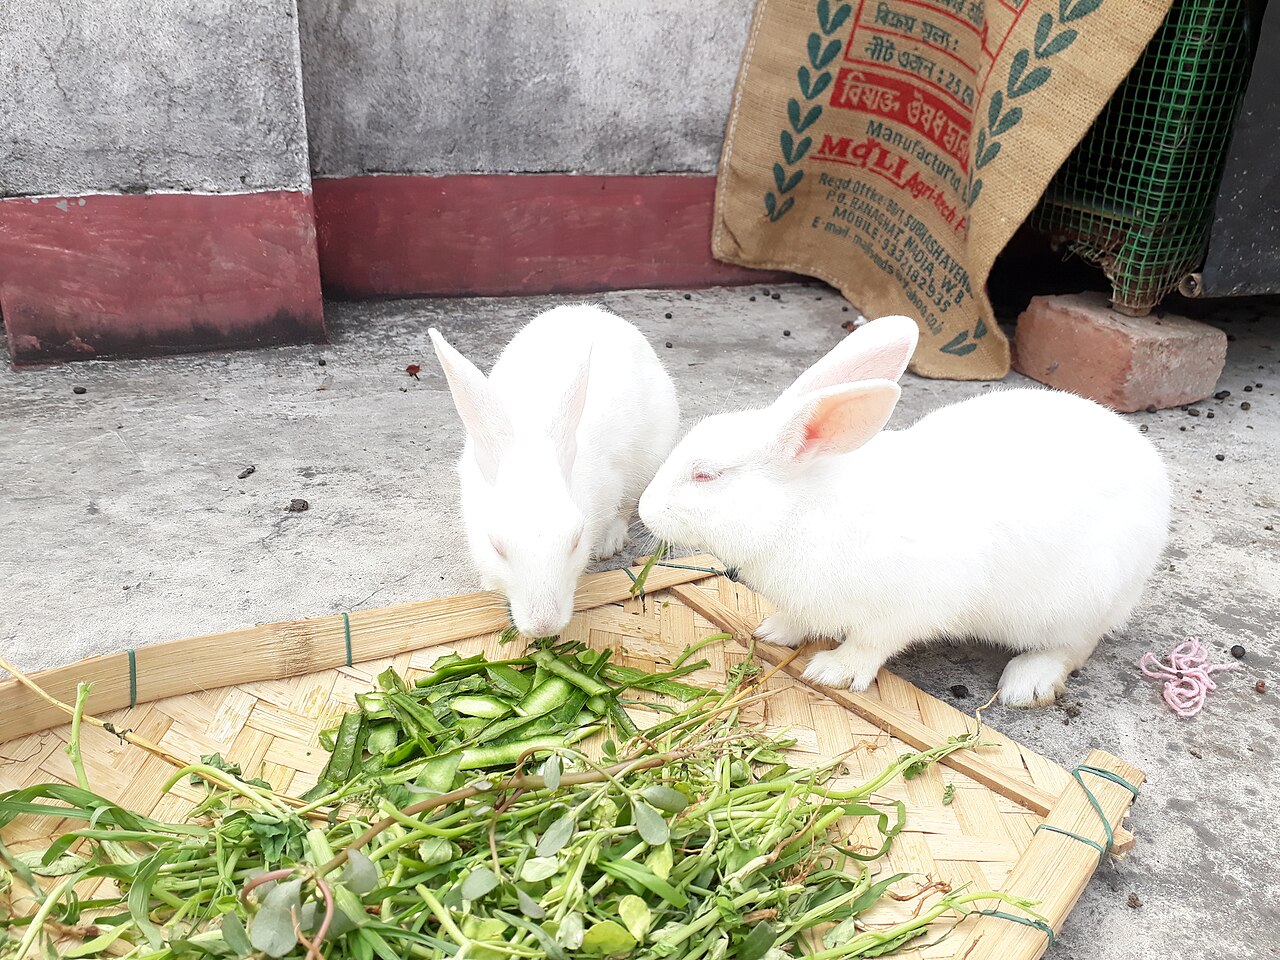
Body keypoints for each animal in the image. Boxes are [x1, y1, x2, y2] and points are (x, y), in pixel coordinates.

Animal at [638, 315, 1170, 707]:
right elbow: (801, 618)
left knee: (1075, 646)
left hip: (1078, 600)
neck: (799, 511)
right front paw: (775, 631)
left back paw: (1026, 683)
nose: (644, 510)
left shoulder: (904, 608)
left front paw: (834, 671)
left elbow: (871, 644)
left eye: (707, 475)